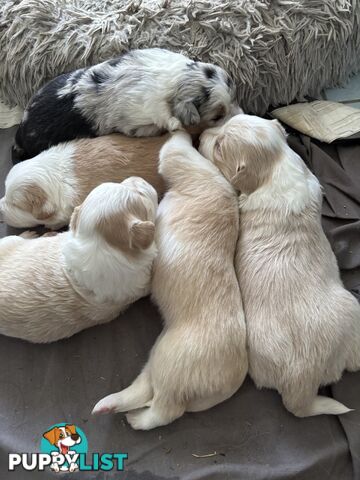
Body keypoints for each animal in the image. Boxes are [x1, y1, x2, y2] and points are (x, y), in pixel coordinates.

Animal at [14, 48, 239, 158]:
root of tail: (22, 130)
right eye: (217, 117)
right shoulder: (140, 124)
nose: (241, 115)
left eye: (235, 97)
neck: (174, 80)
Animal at [93, 130, 249, 428]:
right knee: (145, 390)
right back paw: (110, 405)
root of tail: (227, 386)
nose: (205, 133)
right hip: (159, 355)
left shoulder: (183, 160)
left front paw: (179, 129)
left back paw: (135, 419)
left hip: (172, 363)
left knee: (164, 410)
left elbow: (175, 145)